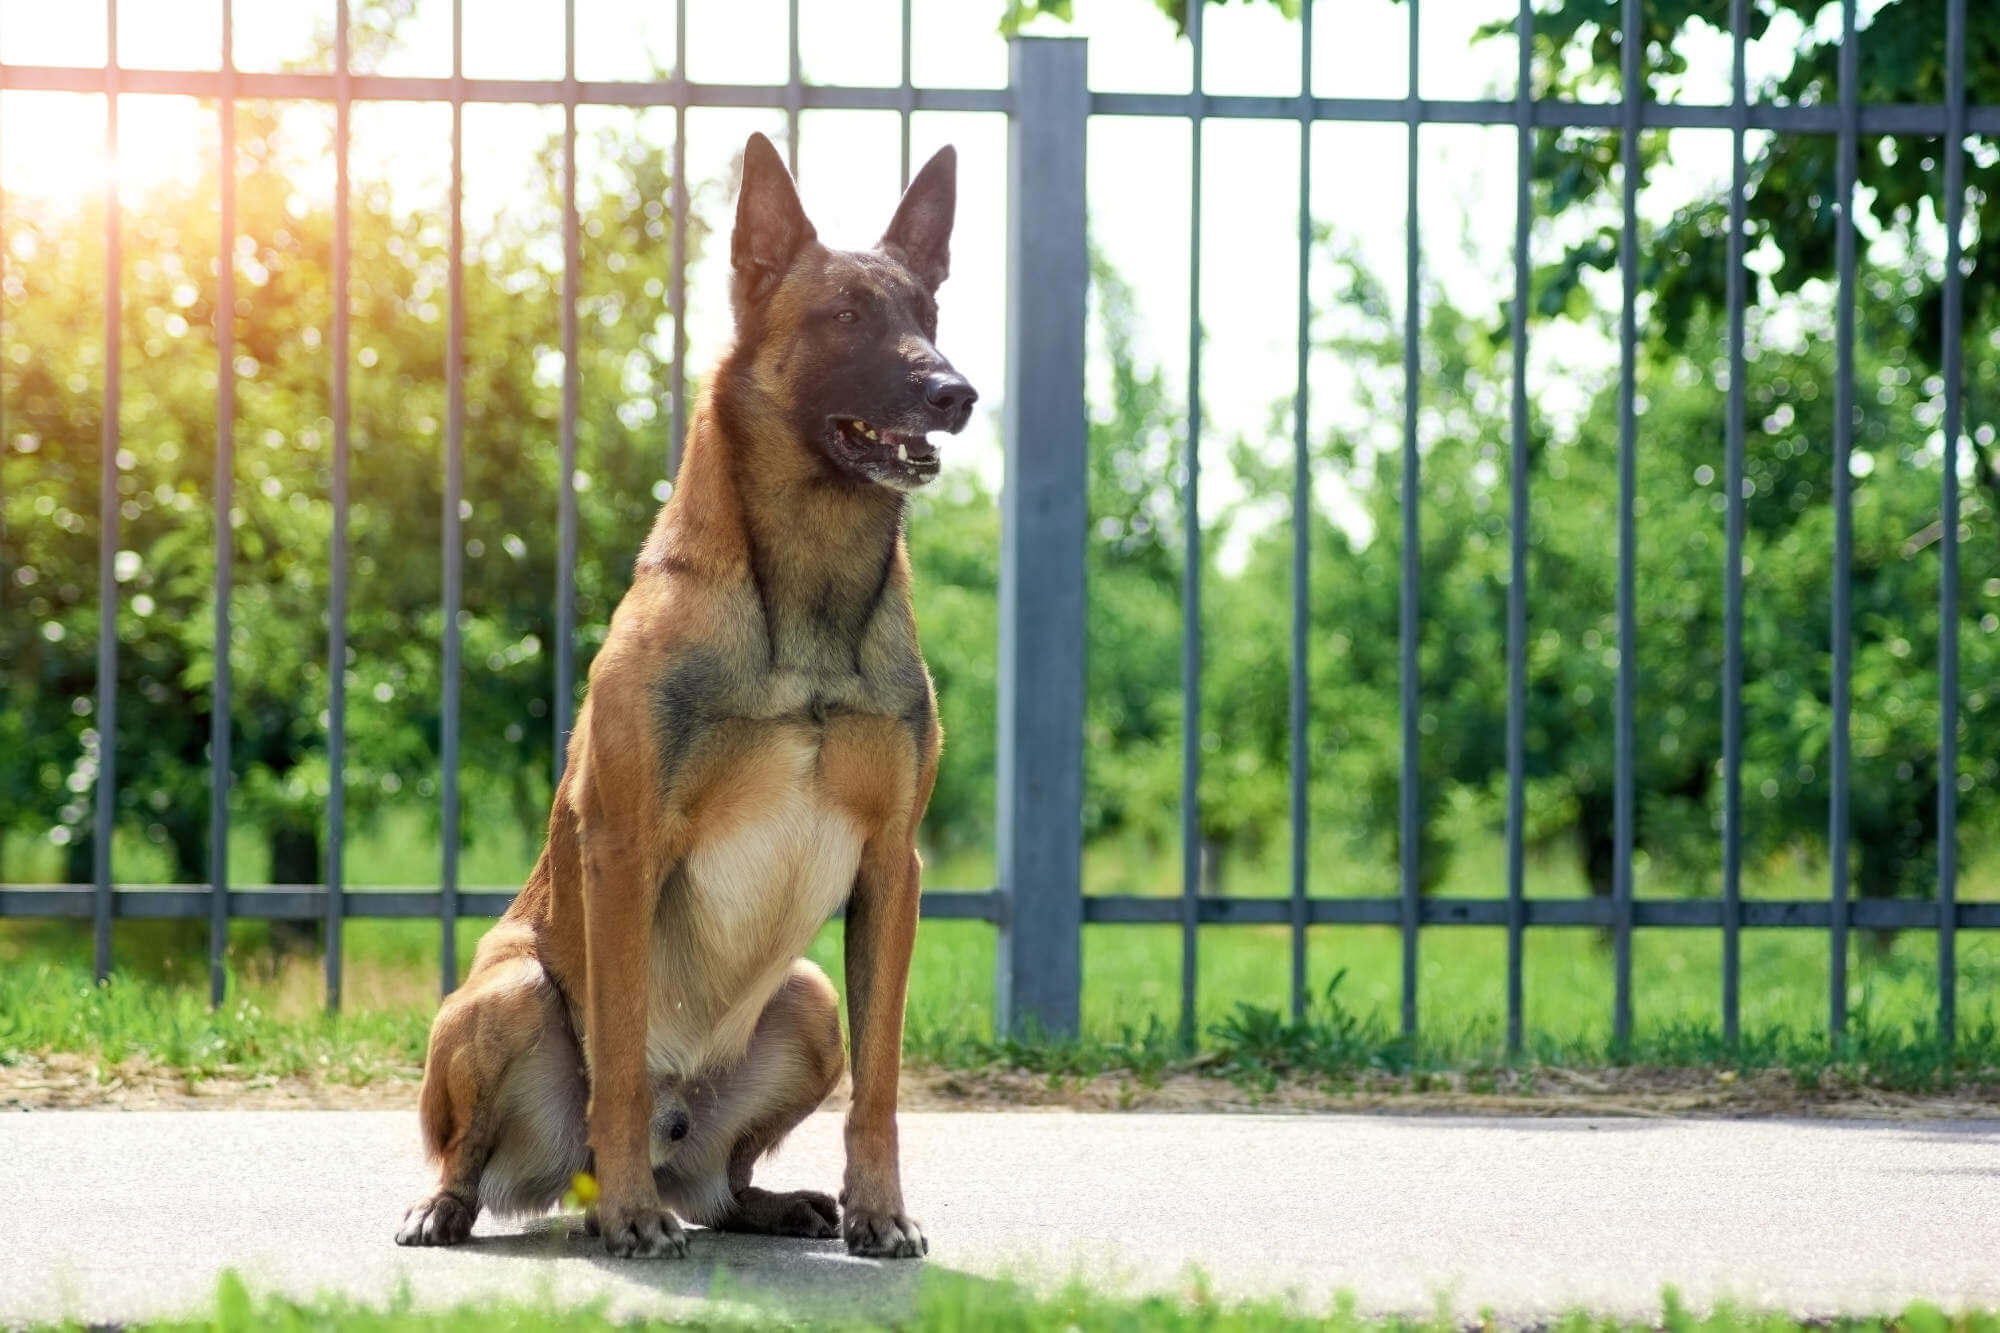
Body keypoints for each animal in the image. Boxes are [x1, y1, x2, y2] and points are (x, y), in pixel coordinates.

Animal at [392, 127, 976, 1256]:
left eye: (926, 316)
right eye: (844, 316)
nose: (955, 392)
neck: (806, 599)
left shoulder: (893, 867)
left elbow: (882, 1084)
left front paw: (880, 1211)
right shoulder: (626, 847)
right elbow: (617, 1057)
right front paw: (629, 1218)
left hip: (808, 1000)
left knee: (721, 1180)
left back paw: (766, 1201)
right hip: (508, 994)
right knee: (481, 1146)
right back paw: (489, 1204)